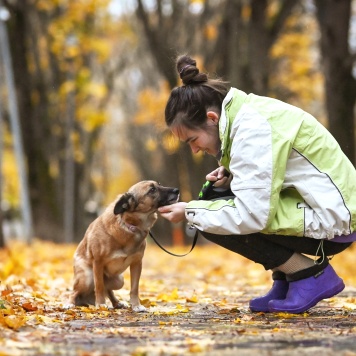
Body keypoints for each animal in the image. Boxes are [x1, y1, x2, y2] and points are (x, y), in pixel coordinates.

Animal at [68, 181, 179, 312]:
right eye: (152, 190)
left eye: (159, 184)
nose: (177, 190)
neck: (128, 226)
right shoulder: (97, 262)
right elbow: (99, 286)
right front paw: (100, 304)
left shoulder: (137, 263)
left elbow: (134, 288)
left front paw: (136, 305)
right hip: (87, 277)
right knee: (75, 292)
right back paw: (70, 304)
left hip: (119, 280)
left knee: (108, 290)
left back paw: (117, 303)